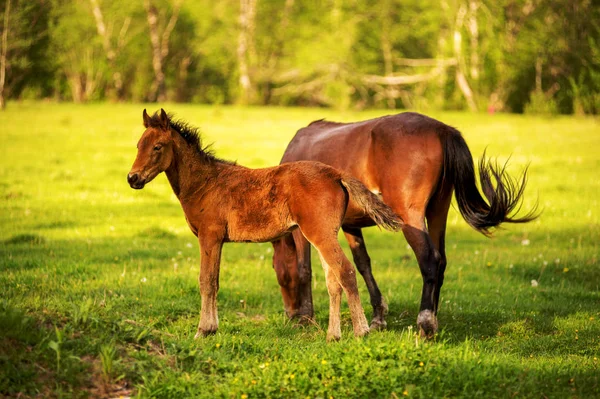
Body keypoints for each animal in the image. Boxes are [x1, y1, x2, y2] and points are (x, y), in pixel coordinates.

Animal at [129, 111, 406, 342]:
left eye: (157, 146)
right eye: (138, 145)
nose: (133, 178)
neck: (205, 183)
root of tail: (336, 174)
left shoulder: (209, 236)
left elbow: (206, 281)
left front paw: (203, 331)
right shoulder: (216, 240)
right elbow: (214, 281)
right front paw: (211, 328)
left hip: (319, 234)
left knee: (345, 271)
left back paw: (361, 331)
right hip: (324, 234)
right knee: (333, 280)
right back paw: (333, 336)